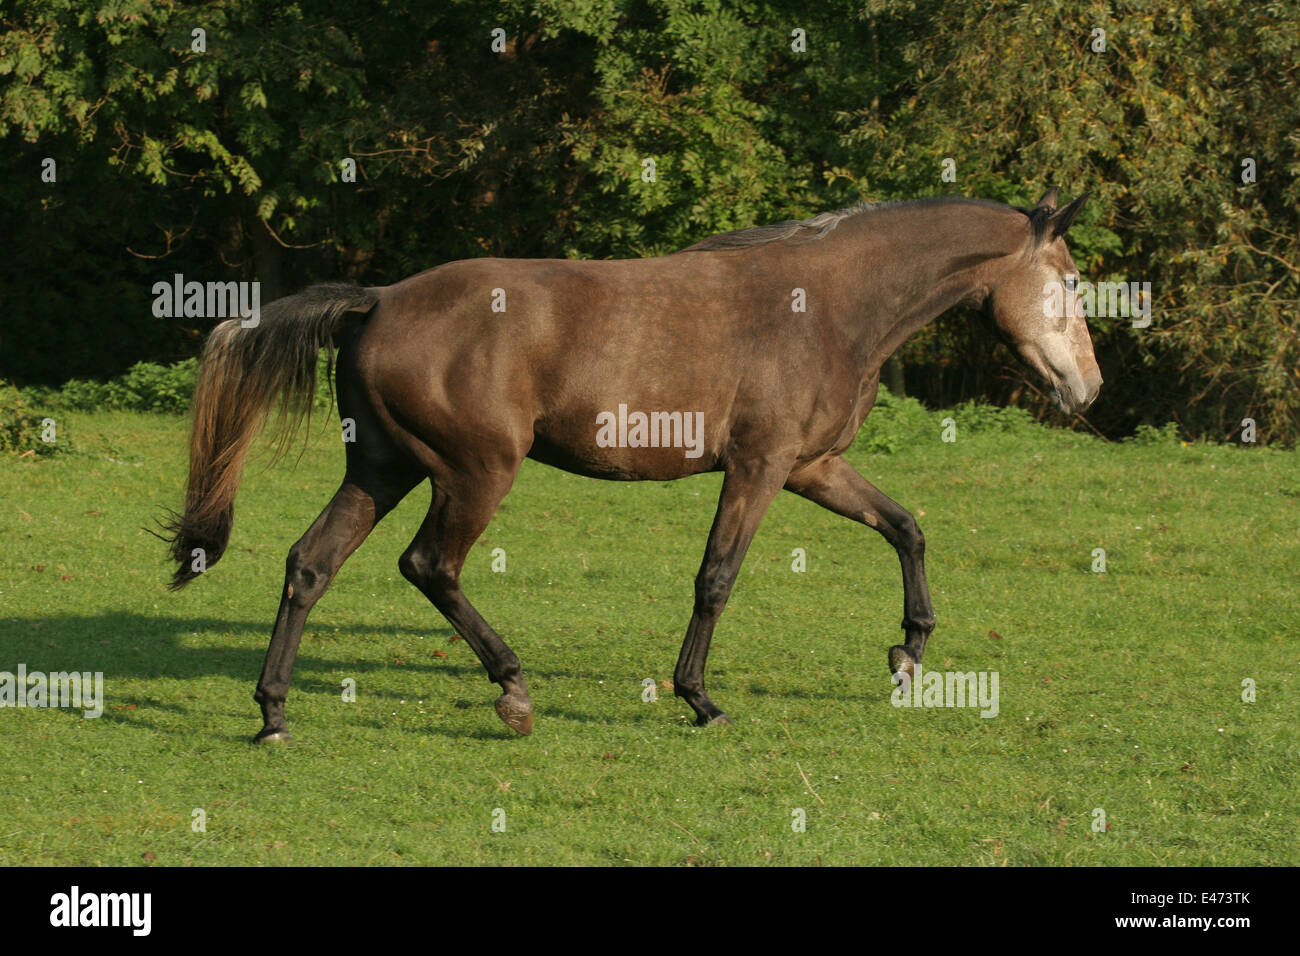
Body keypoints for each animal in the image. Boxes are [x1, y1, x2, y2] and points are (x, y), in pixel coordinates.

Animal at [163, 187, 1100, 742]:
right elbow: (716, 578)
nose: (1087, 387)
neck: (827, 306)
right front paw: (698, 698)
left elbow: (906, 528)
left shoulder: (811, 466)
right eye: (1070, 281)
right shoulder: (759, 467)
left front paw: (909, 652)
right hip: (475, 473)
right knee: (429, 565)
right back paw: (514, 691)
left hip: (384, 468)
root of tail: (378, 300)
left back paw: (273, 714)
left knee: (309, 565)